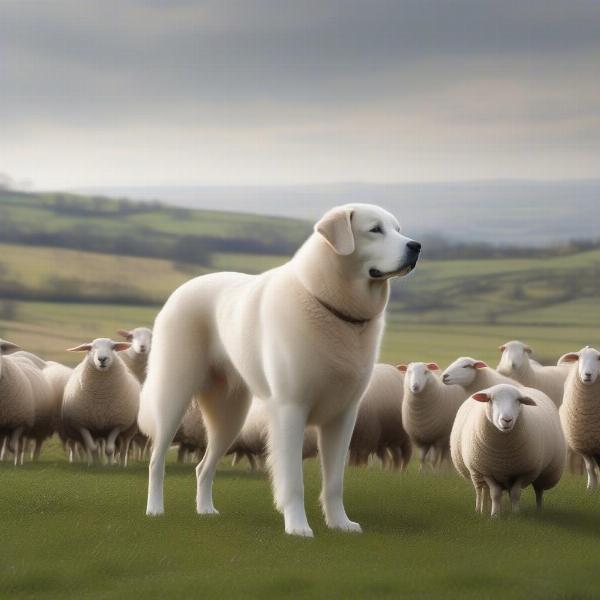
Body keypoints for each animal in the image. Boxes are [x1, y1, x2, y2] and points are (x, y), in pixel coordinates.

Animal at [139, 204, 422, 536]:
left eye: (398, 229)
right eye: (375, 229)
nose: (416, 246)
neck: (332, 307)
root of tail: (179, 291)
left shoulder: (343, 417)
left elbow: (335, 482)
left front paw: (340, 524)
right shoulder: (291, 410)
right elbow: (293, 480)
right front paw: (298, 528)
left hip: (230, 417)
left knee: (202, 467)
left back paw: (206, 510)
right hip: (174, 398)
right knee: (156, 461)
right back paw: (155, 510)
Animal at [450, 384, 568, 516]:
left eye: (518, 400)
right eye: (491, 399)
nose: (507, 420)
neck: (503, 456)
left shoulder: (524, 472)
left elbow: (515, 493)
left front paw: (515, 513)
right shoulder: (486, 472)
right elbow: (495, 493)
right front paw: (495, 515)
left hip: (543, 474)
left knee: (539, 491)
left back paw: (539, 510)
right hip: (476, 472)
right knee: (481, 491)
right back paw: (480, 510)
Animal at [556, 346, 600, 492]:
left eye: (599, 358)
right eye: (579, 358)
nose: (587, 375)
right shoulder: (584, 445)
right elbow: (589, 467)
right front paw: (591, 489)